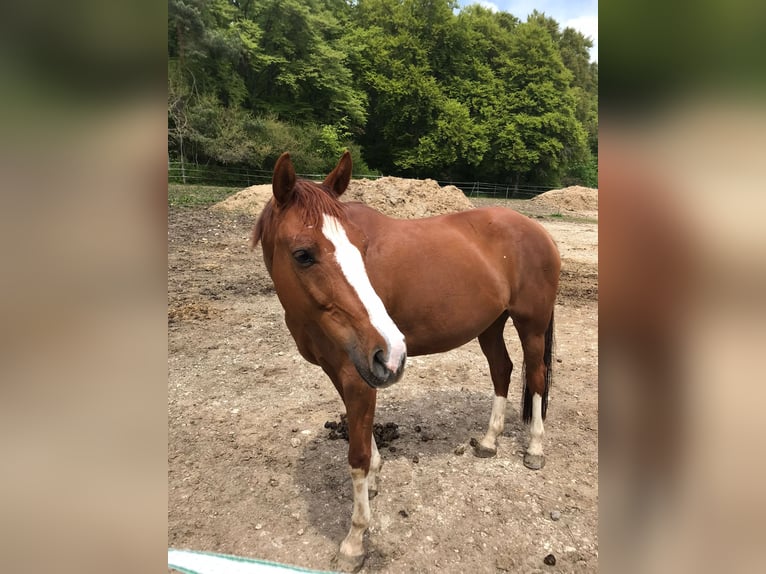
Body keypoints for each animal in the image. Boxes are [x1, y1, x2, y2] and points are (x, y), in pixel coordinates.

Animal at [255, 152, 560, 572]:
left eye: (362, 247)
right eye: (303, 254)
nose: (392, 350)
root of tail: (537, 230)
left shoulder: (358, 371)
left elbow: (356, 454)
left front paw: (354, 541)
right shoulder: (349, 369)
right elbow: (361, 431)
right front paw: (375, 479)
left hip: (531, 325)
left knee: (537, 376)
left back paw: (535, 450)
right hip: (491, 326)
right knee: (503, 370)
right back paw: (489, 441)